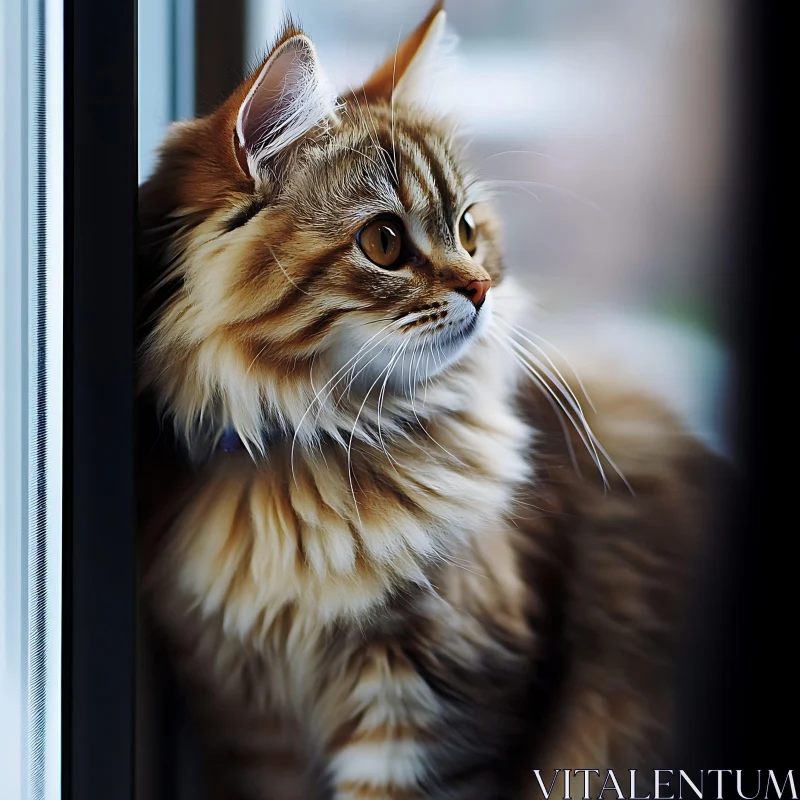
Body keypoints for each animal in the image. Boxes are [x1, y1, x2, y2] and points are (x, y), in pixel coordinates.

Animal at [136, 3, 724, 796]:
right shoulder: (247, 721)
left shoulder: (440, 696)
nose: (482, 288)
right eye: (385, 241)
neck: (311, 462)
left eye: (469, 232)